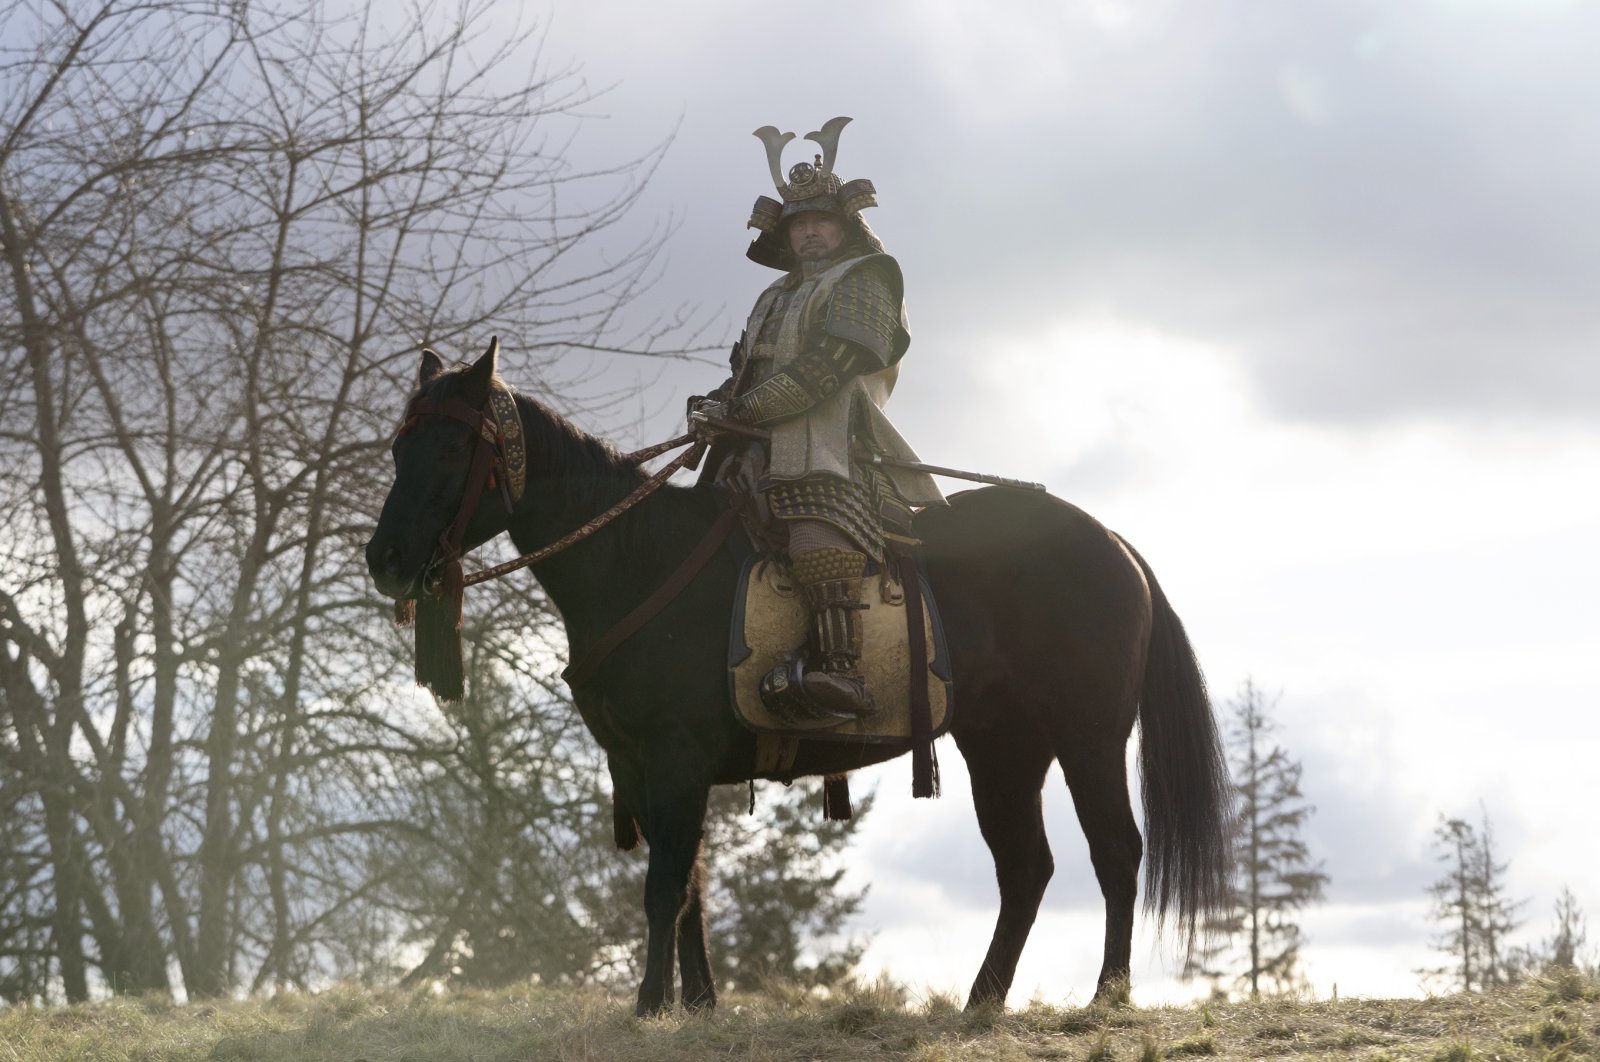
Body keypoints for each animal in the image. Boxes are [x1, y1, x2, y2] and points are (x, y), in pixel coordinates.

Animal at [366, 342, 1235, 1023]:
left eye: (452, 451)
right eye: (399, 449)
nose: (385, 559)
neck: (636, 559)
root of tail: (1112, 541)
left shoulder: (674, 762)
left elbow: (663, 885)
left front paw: (648, 1008)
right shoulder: (646, 768)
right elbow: (689, 888)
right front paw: (697, 1006)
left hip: (1087, 736)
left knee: (1115, 850)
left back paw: (1106, 996)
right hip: (1003, 747)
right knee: (1026, 867)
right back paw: (980, 1002)